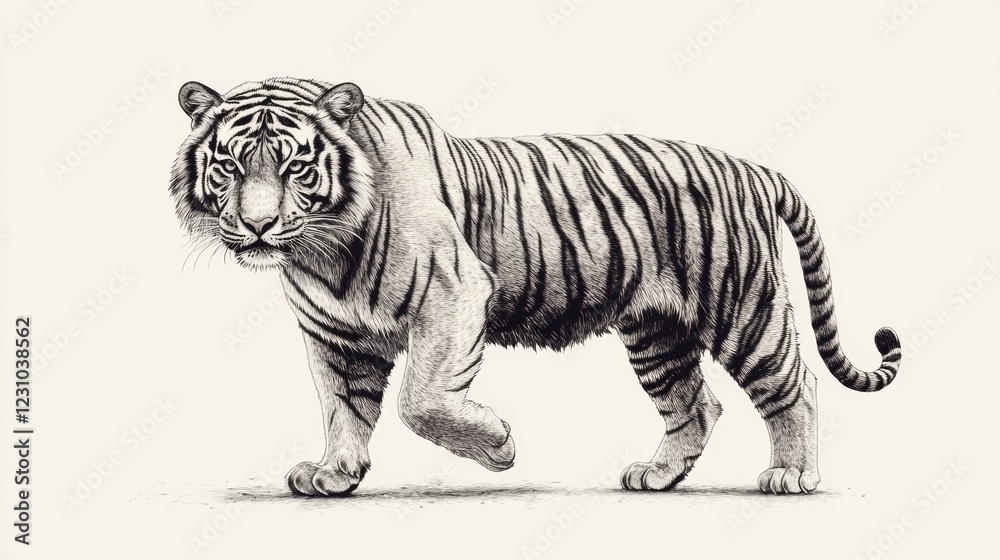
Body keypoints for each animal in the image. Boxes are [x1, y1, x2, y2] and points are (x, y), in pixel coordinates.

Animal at [169, 77, 901, 497]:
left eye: (295, 166)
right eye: (229, 165)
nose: (258, 225)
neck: (321, 252)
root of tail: (751, 167)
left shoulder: (454, 291)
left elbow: (419, 400)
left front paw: (498, 446)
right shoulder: (337, 335)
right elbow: (344, 408)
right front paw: (335, 473)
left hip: (743, 306)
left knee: (794, 386)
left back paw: (792, 475)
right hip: (657, 333)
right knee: (696, 406)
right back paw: (656, 476)